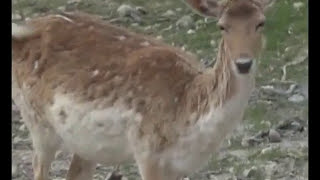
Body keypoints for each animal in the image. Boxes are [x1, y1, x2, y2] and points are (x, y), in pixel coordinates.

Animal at [12, 0, 272, 179]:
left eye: (261, 23)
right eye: (222, 26)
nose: (243, 63)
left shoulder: (179, 167)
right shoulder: (147, 151)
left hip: (85, 144)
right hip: (37, 121)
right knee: (38, 166)